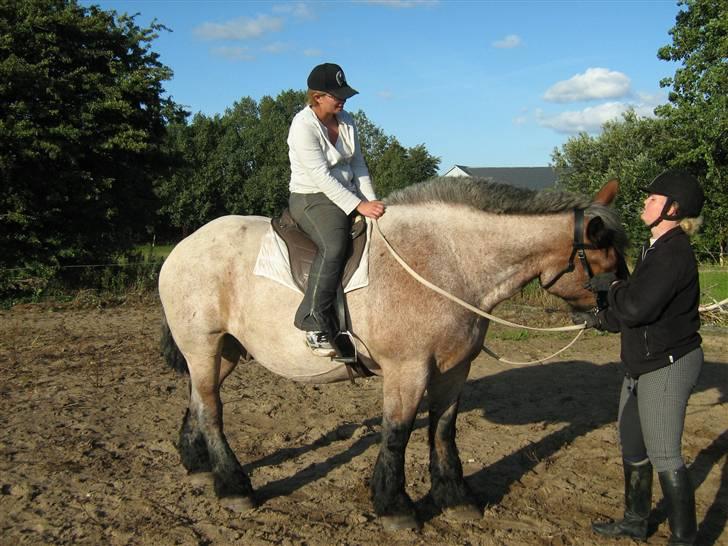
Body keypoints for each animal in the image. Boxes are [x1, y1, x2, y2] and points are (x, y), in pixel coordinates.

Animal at [159, 176, 624, 528]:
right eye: (606, 261)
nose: (616, 317)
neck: (449, 260)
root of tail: (183, 248)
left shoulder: (455, 370)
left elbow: (443, 430)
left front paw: (455, 498)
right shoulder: (409, 369)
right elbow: (397, 433)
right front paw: (395, 507)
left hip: (224, 351)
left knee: (198, 399)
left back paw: (198, 466)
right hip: (202, 345)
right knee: (212, 409)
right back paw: (234, 487)